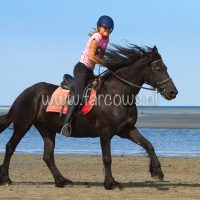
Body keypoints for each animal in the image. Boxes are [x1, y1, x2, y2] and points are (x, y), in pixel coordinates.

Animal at [0, 44, 178, 190]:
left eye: (166, 67)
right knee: (10, 147)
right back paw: (6, 179)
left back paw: (62, 181)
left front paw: (157, 171)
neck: (117, 93)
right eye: (159, 69)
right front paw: (110, 183)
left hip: (47, 129)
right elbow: (107, 158)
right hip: (23, 124)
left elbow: (148, 145)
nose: (173, 92)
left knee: (47, 156)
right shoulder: (105, 132)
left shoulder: (127, 130)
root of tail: (26, 92)